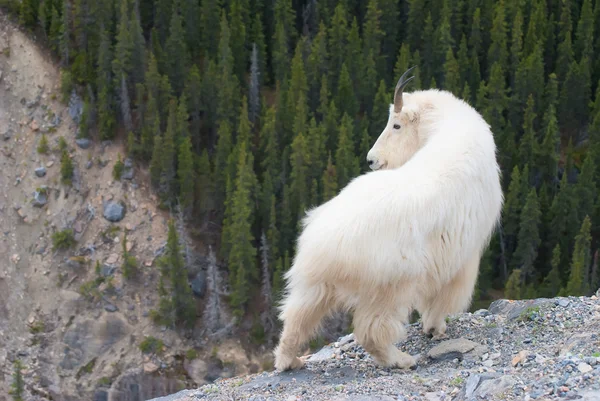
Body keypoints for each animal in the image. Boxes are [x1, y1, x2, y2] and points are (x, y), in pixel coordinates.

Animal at [274, 67, 504, 370]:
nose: (372, 160)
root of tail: (328, 244)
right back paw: (401, 359)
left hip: (315, 282)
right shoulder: (462, 251)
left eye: (395, 125)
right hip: (391, 280)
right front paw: (435, 327)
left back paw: (290, 360)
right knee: (372, 327)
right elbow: (447, 292)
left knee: (298, 314)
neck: (447, 127)